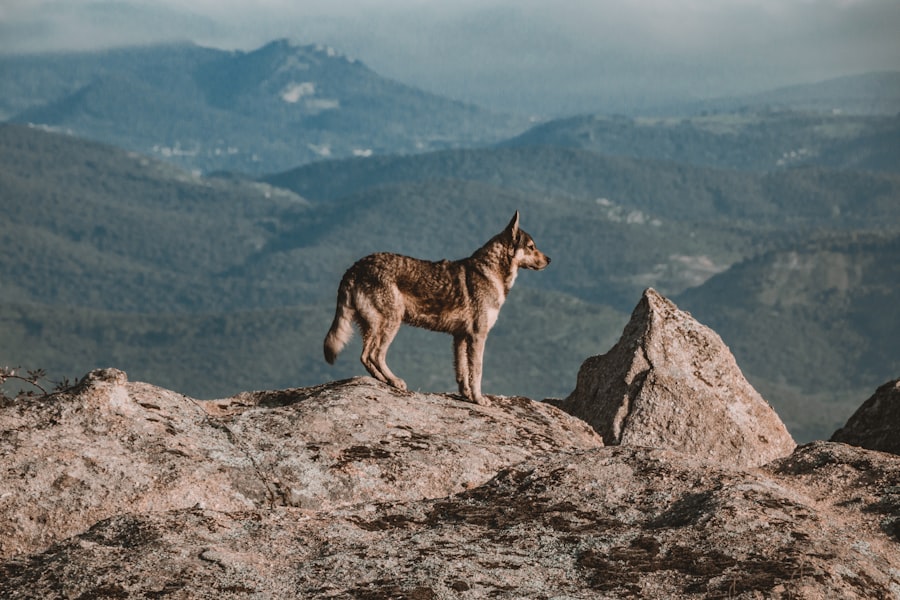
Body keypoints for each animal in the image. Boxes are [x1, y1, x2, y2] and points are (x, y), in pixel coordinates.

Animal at [323, 211, 550, 405]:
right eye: (531, 247)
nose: (549, 260)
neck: (492, 273)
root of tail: (354, 268)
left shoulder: (460, 336)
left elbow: (461, 372)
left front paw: (466, 396)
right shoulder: (478, 336)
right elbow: (477, 372)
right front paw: (479, 400)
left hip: (374, 326)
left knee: (366, 356)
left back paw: (385, 381)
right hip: (391, 322)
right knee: (373, 354)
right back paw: (395, 381)